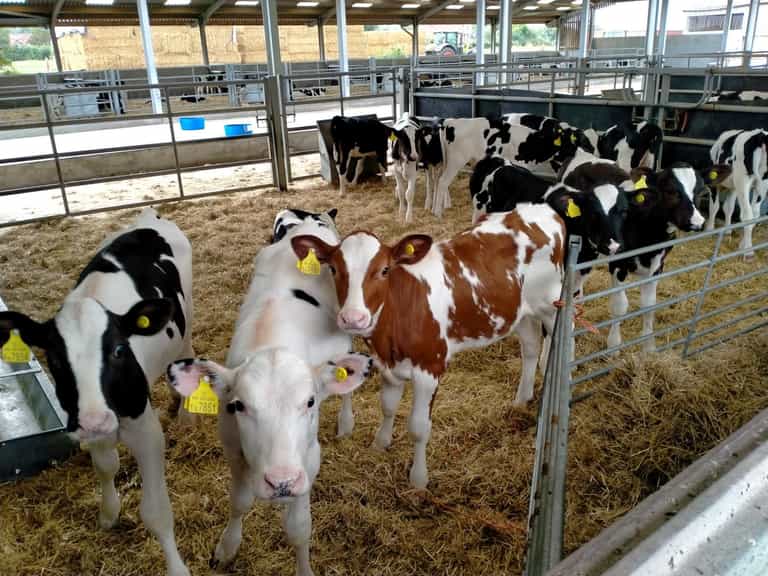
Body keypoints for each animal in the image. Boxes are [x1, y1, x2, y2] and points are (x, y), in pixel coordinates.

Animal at [0, 208, 193, 576]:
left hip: (186, 317)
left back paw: (186, 410)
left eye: (118, 350)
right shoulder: (92, 428)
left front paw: (177, 568)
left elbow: (156, 512)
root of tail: (149, 216)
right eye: (55, 359)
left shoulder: (146, 432)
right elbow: (106, 466)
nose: (95, 420)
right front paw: (109, 513)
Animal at [166, 208, 372, 576]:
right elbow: (239, 501)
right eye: (238, 406)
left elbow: (299, 529)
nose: (282, 482)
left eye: (310, 402)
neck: (271, 341)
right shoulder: (233, 449)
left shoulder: (309, 460)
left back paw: (346, 421)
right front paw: (227, 546)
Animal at [291, 205, 567, 489]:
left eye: (385, 270)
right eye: (333, 269)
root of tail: (539, 208)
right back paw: (521, 399)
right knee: (531, 346)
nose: (353, 318)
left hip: (552, 304)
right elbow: (387, 406)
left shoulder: (430, 368)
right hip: (519, 313)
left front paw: (418, 479)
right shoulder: (386, 365)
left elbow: (419, 428)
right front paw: (380, 443)